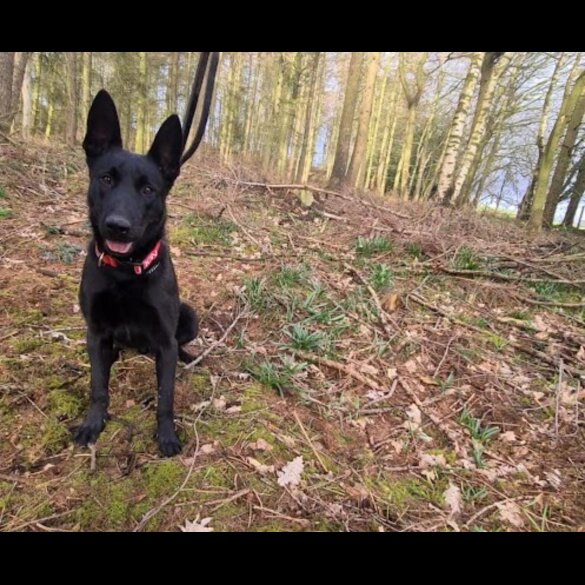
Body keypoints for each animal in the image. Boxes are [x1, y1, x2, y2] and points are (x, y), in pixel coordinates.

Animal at [72, 91, 196, 456]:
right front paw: (92, 424)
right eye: (106, 179)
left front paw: (167, 435)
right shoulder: (97, 331)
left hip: (189, 315)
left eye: (148, 190)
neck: (126, 274)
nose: (118, 226)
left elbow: (165, 398)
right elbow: (98, 387)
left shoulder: (165, 343)